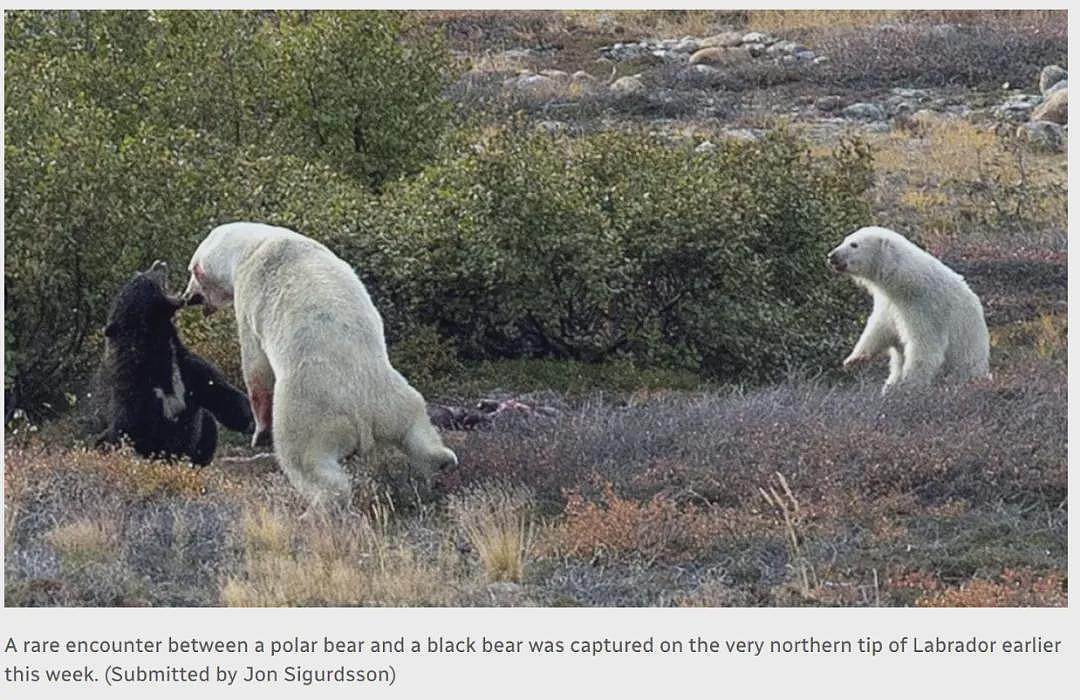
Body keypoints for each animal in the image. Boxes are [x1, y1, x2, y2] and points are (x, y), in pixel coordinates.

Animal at [95, 260, 254, 465]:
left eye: (143, 272)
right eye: (141, 278)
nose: (158, 263)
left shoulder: (185, 369)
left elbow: (221, 391)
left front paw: (252, 420)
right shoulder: (136, 388)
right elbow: (129, 428)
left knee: (209, 427)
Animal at [181, 222, 457, 504]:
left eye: (192, 272)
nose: (187, 296)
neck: (254, 244)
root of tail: (364, 417)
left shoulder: (249, 295)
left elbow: (256, 367)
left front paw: (258, 432)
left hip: (310, 411)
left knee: (304, 460)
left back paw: (321, 502)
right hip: (394, 398)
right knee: (417, 430)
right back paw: (442, 462)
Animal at [827, 226, 990, 394]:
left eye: (854, 244)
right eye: (845, 239)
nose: (832, 256)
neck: (906, 283)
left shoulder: (925, 308)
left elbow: (925, 348)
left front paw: (908, 384)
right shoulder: (889, 303)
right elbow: (880, 328)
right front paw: (854, 360)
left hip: (967, 360)